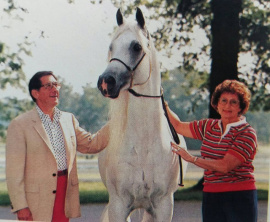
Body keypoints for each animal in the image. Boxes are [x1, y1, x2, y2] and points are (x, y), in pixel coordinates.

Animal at [97, 7, 188, 221]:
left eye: (136, 46)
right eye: (111, 47)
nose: (105, 81)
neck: (143, 145)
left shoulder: (163, 205)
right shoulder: (118, 205)